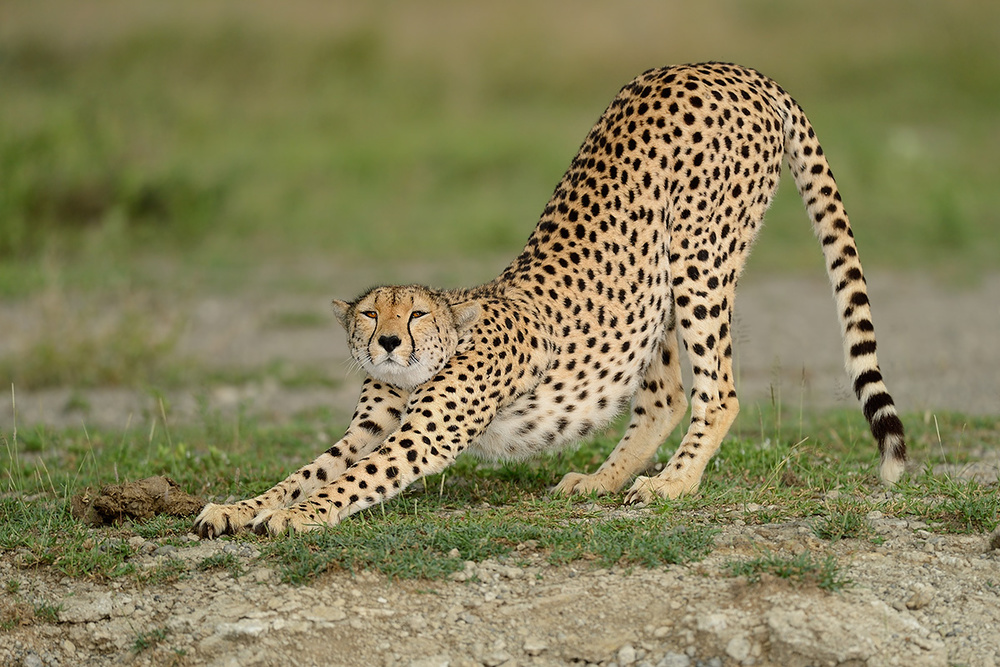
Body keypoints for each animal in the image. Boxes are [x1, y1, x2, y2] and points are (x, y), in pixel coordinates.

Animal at [194, 62, 906, 538]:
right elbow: (310, 470)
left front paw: (294, 518)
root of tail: (730, 67)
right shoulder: (371, 426)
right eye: (372, 315)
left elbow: (348, 482)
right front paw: (236, 508)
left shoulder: (421, 436)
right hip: (650, 289)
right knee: (666, 393)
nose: (389, 342)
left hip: (699, 259)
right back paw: (604, 479)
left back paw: (673, 483)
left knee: (720, 389)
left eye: (415, 314)